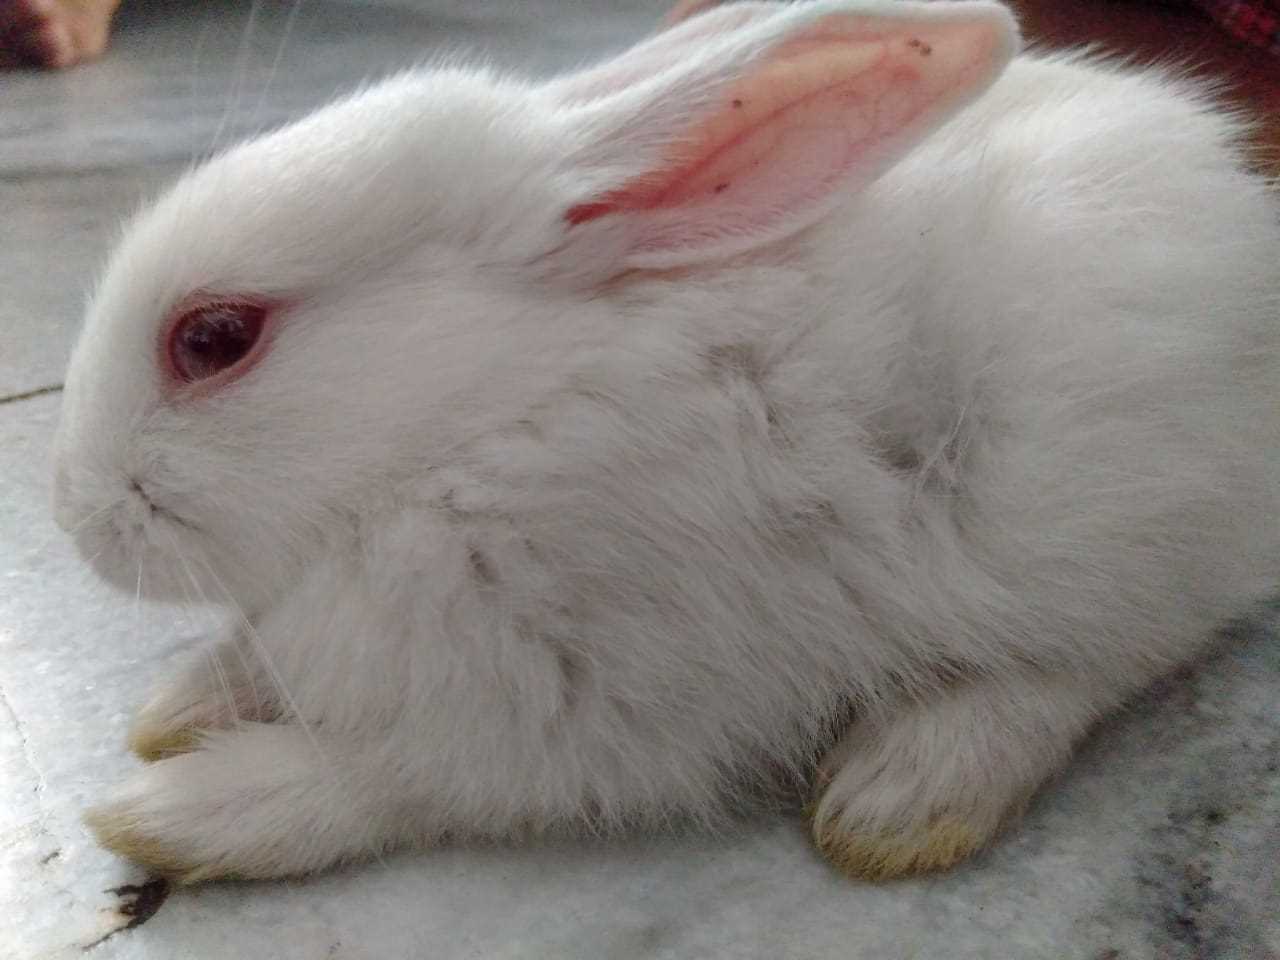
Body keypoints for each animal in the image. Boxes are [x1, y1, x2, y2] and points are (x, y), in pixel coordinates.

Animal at [52, 0, 1279, 885]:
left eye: (213, 338)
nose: (72, 516)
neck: (487, 414)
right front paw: (175, 710)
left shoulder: (598, 713)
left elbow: (394, 776)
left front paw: (168, 813)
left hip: (1097, 506)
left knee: (1108, 651)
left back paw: (906, 789)